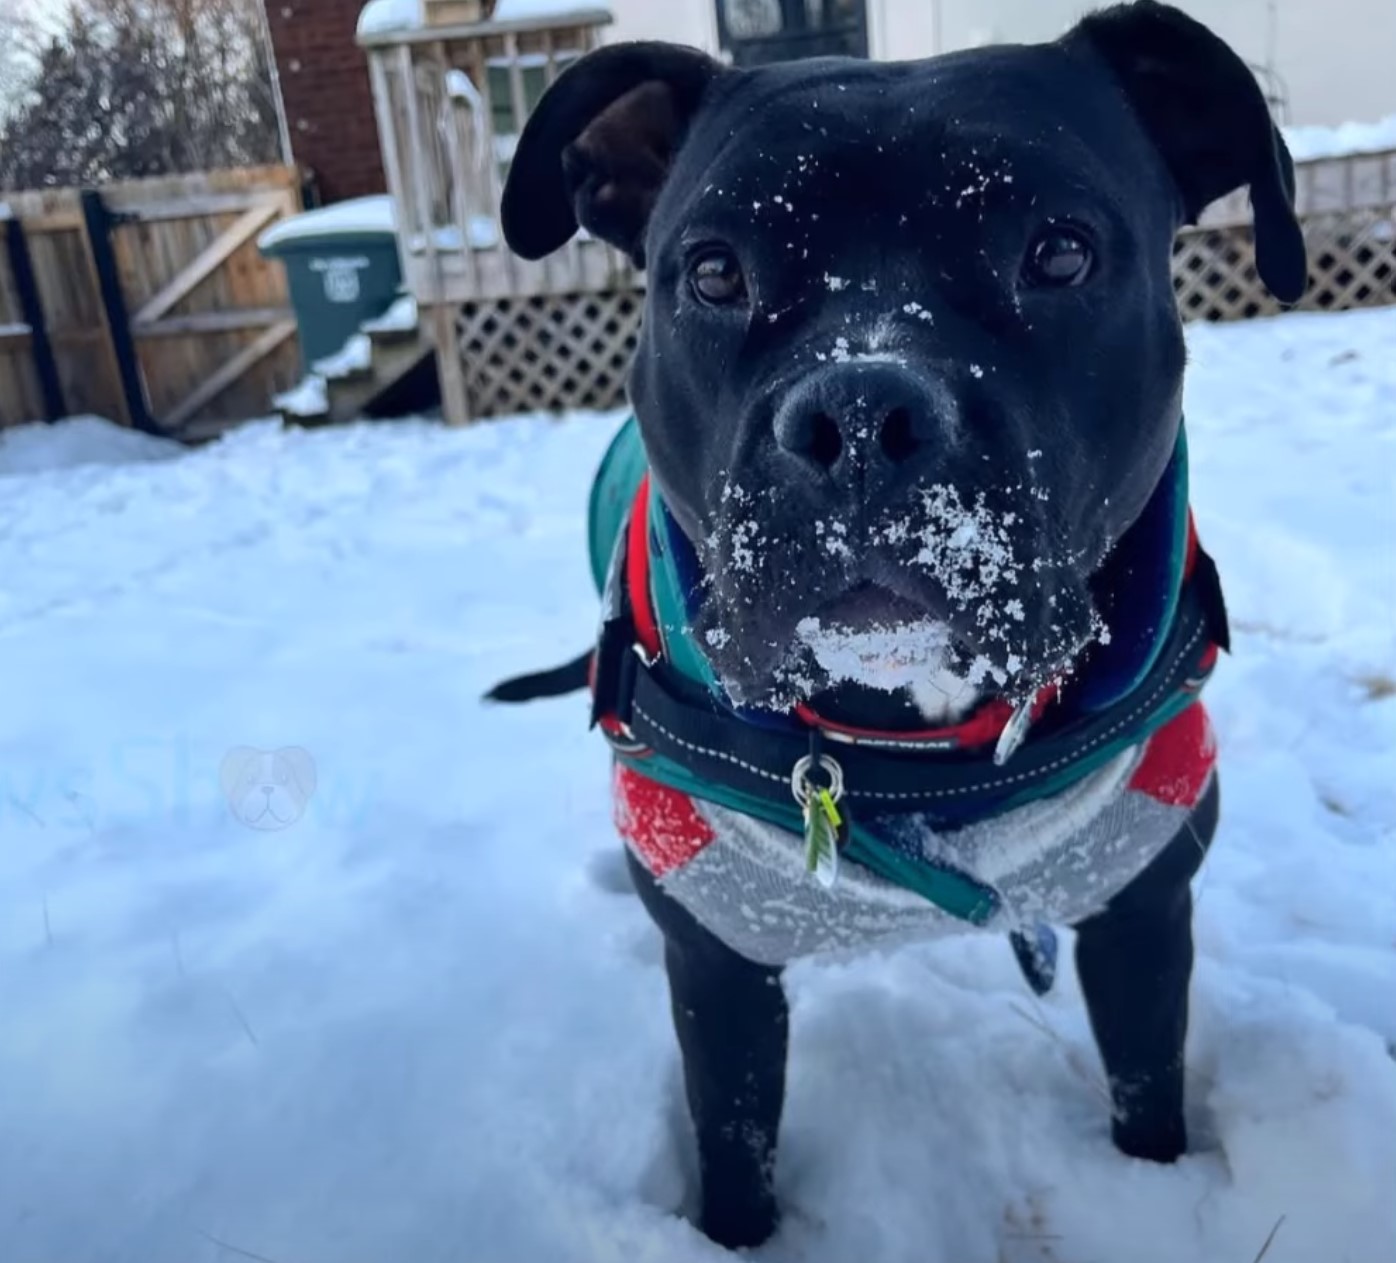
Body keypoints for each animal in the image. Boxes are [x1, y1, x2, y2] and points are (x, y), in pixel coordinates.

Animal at [496, 0, 1301, 1239]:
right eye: (715, 270)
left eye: (1059, 250)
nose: (859, 412)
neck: (902, 754)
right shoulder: (717, 970)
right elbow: (734, 1156)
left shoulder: (1141, 913)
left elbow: (1147, 1100)